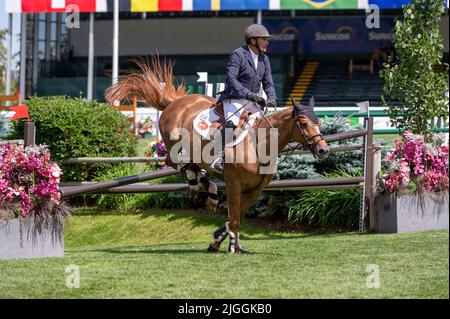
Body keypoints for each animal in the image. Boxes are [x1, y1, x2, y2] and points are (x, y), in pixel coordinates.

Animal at [107, 60, 328, 255]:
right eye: (304, 123)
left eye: (318, 122)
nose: (323, 150)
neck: (258, 145)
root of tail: (175, 102)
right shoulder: (234, 185)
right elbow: (235, 219)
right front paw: (230, 246)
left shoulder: (256, 189)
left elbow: (237, 217)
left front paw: (222, 241)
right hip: (172, 145)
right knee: (174, 162)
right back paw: (196, 183)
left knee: (193, 167)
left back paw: (209, 190)